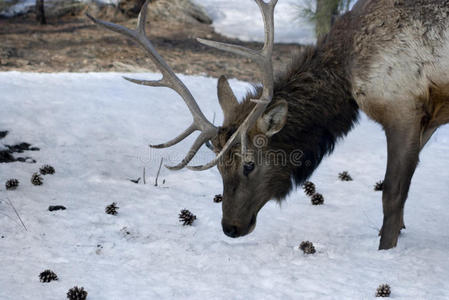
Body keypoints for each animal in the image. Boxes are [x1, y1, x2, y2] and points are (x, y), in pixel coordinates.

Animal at [87, 0, 448, 248]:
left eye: (249, 165)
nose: (230, 228)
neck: (346, 73)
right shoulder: (428, 118)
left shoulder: (402, 107)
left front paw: (385, 249)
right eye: (219, 167)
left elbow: (392, 195)